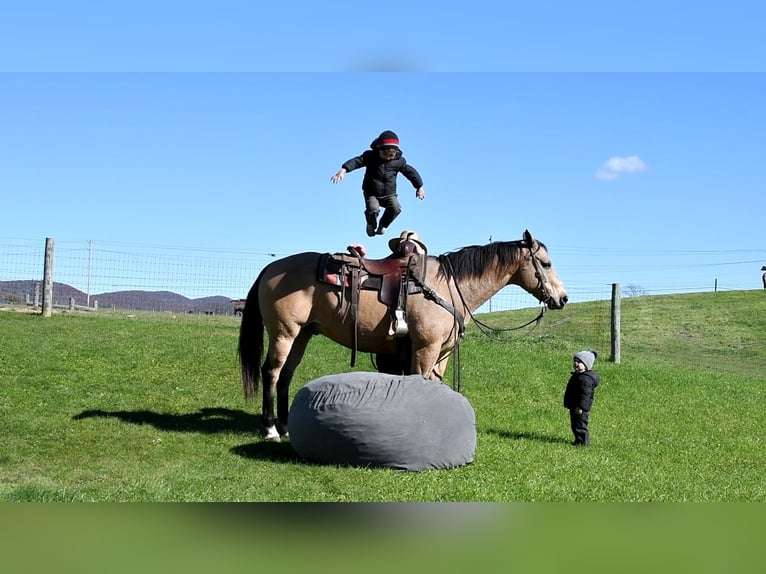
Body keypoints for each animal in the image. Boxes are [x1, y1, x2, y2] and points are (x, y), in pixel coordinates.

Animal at [240, 230, 568, 440]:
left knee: (286, 374)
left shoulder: (442, 354)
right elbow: (420, 382)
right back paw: (270, 429)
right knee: (271, 372)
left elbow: (436, 385)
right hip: (284, 333)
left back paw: (284, 427)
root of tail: (271, 267)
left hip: (303, 334)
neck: (448, 285)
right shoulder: (425, 348)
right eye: (546, 263)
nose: (562, 298)